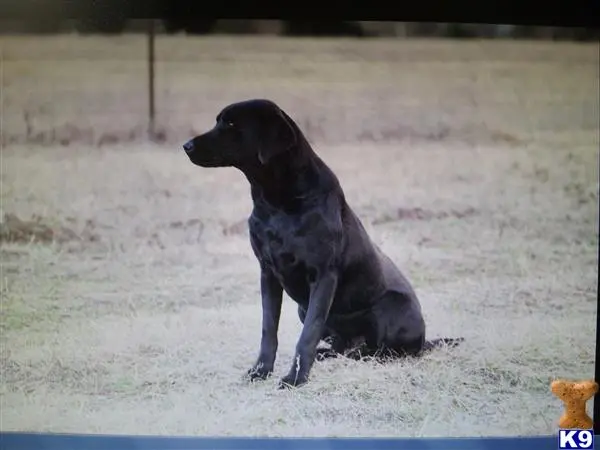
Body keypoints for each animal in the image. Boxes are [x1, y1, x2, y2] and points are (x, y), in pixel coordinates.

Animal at [180, 100, 462, 388]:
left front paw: (295, 378)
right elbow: (269, 330)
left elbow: (307, 335)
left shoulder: (323, 276)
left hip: (389, 308)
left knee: (382, 351)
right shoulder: (267, 273)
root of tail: (424, 339)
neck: (276, 202)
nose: (186, 145)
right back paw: (329, 353)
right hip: (303, 309)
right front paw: (260, 371)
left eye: (231, 124)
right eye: (219, 121)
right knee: (342, 345)